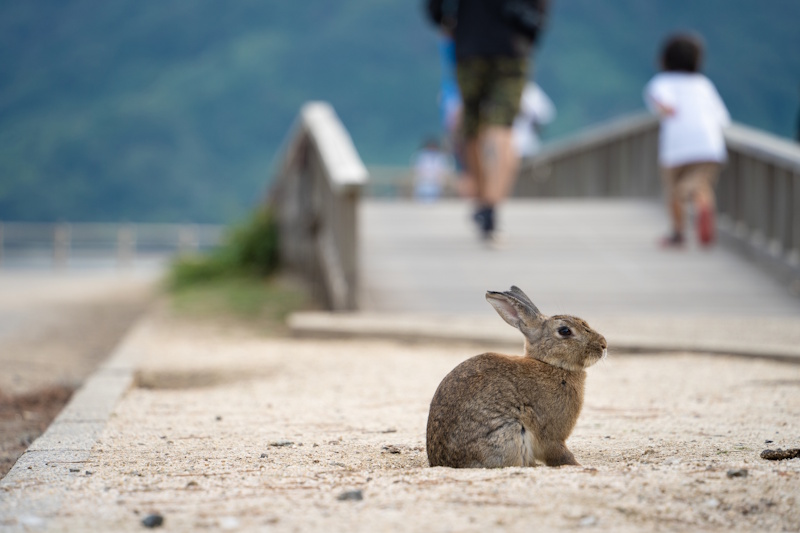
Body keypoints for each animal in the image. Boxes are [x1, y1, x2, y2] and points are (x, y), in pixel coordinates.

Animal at [426, 286, 607, 468]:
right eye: (565, 331)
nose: (604, 345)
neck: (552, 364)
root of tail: (442, 462)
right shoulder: (551, 433)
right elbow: (558, 452)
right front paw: (577, 465)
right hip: (509, 433)